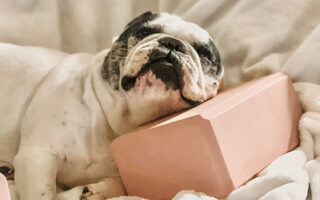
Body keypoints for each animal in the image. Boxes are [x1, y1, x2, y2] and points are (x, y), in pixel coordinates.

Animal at [0, 11, 224, 199]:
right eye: (143, 32)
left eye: (204, 54)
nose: (172, 43)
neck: (113, 121)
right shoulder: (36, 157)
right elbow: (43, 194)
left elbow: (121, 186)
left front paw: (97, 190)